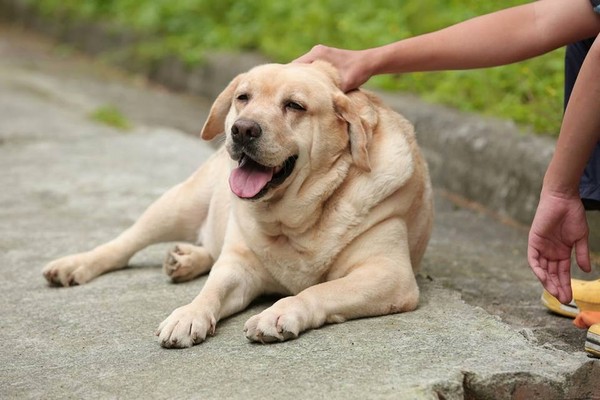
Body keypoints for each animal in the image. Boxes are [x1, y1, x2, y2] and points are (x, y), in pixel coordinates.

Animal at [44, 61, 434, 346]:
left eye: (295, 106)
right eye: (243, 97)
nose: (243, 129)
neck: (295, 220)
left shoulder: (389, 275)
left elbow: (320, 289)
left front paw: (278, 312)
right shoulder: (239, 266)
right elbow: (211, 290)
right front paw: (189, 315)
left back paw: (186, 259)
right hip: (178, 204)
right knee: (124, 243)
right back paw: (75, 264)